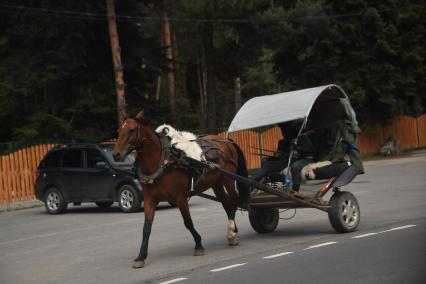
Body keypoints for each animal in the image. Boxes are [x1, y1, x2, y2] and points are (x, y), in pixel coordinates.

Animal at [111, 111, 250, 268]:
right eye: (119, 131)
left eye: (132, 130)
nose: (116, 154)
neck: (163, 161)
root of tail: (225, 140)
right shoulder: (150, 200)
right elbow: (146, 228)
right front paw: (141, 256)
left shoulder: (180, 198)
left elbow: (188, 222)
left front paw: (198, 245)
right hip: (216, 183)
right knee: (227, 204)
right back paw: (233, 233)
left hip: (228, 179)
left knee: (234, 201)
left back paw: (232, 230)